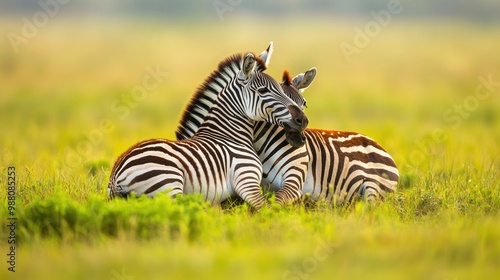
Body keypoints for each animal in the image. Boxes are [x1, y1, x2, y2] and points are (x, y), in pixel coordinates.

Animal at [107, 49, 306, 209]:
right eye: (264, 90)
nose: (302, 120)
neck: (228, 134)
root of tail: (116, 173)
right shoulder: (246, 180)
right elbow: (269, 211)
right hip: (168, 185)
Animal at [176, 43, 398, 206]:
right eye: (268, 92)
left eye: (304, 103)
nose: (303, 122)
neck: (261, 145)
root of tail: (375, 142)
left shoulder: (295, 178)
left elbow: (276, 204)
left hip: (373, 191)